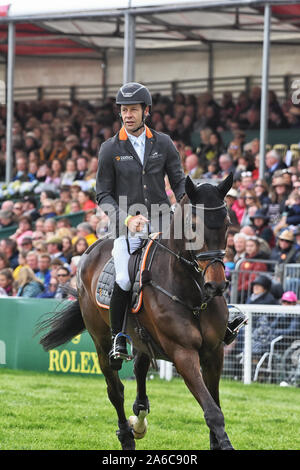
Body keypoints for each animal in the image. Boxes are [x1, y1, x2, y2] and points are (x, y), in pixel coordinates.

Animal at [37, 173, 234, 452]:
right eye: (193, 225)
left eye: (227, 223)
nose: (215, 286)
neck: (192, 293)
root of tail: (92, 249)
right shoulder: (183, 353)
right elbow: (213, 411)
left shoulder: (214, 352)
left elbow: (215, 404)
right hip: (101, 340)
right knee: (115, 389)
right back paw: (127, 435)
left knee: (140, 368)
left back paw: (139, 418)